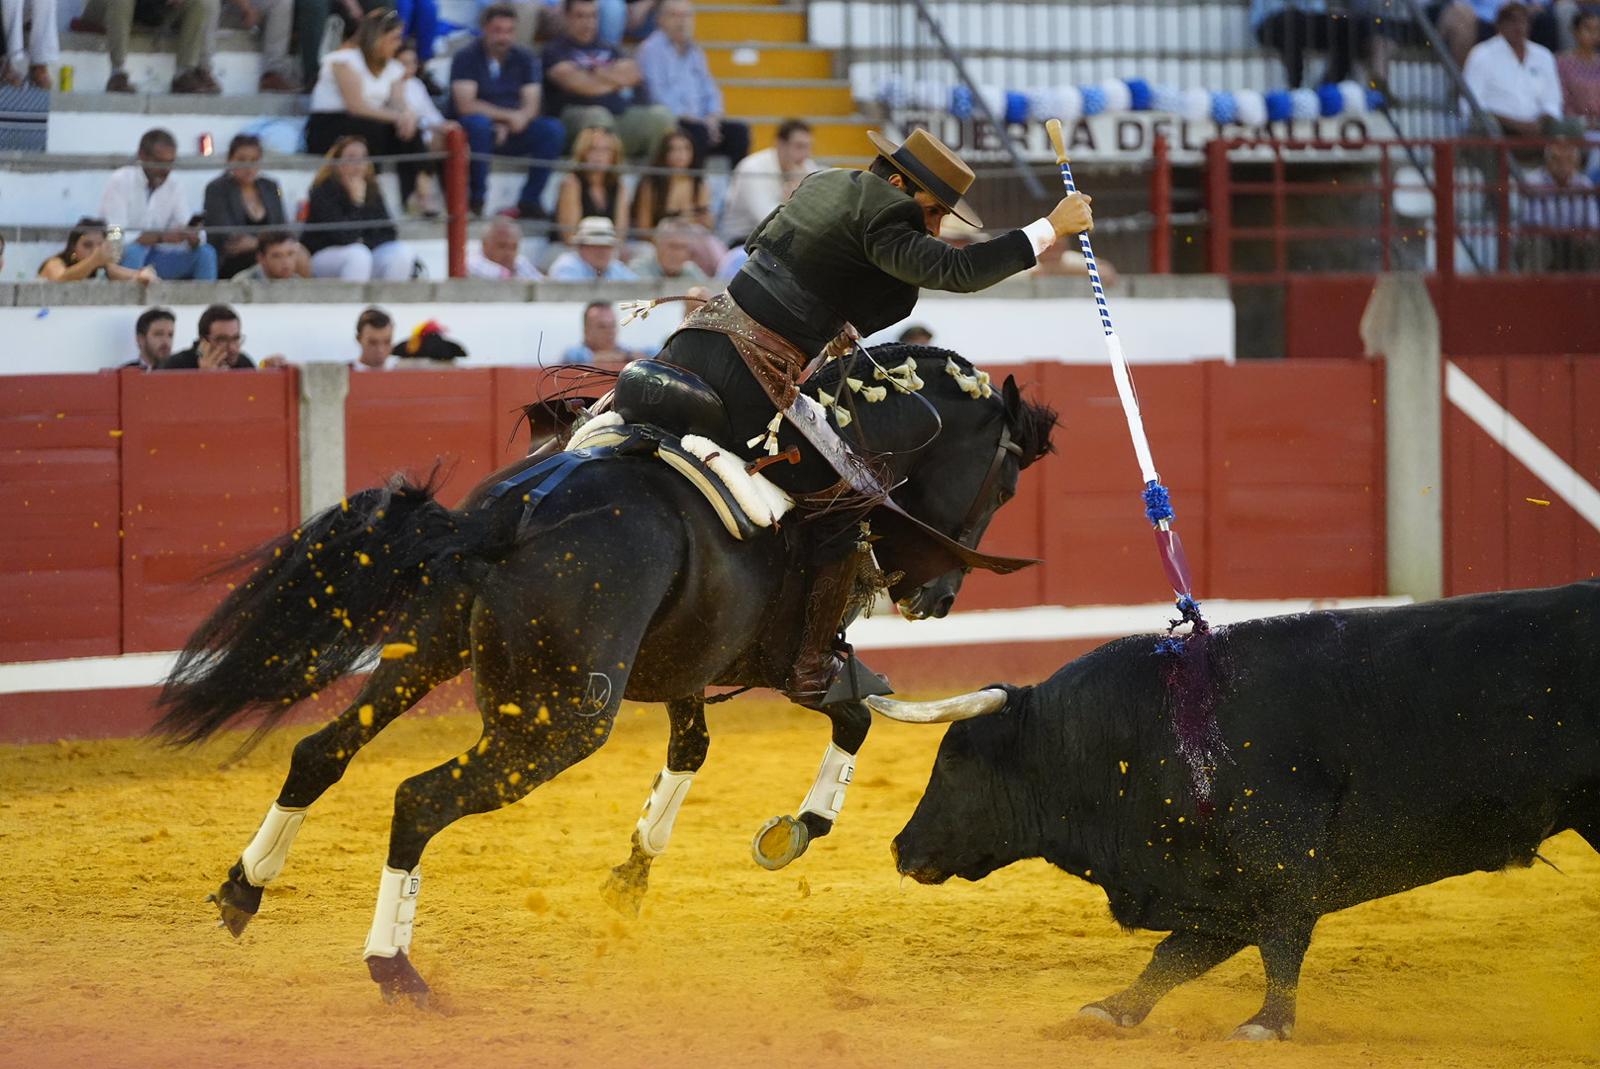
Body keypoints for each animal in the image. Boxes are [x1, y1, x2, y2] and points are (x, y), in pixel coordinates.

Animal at [150, 347, 1049, 1004]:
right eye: (1006, 480)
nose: (937, 598)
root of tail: (503, 516)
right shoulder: (794, 664)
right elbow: (854, 716)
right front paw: (797, 827)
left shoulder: (688, 666)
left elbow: (692, 751)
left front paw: (631, 875)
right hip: (559, 725)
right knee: (418, 798)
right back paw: (395, 968)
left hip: (425, 652)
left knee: (321, 751)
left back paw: (243, 890)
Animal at [889, 579, 1600, 1036]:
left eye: (954, 762)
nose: (899, 847)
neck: (1137, 732)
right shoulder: (1215, 889)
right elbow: (1175, 957)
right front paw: (1111, 1011)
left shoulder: (1282, 864)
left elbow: (1281, 944)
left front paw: (1267, 1025)